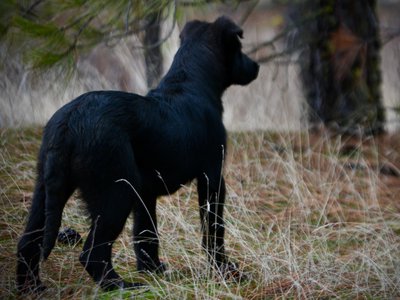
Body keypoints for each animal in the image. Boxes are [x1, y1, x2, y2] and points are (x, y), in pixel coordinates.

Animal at [16, 15, 260, 292]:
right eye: (239, 48)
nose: (256, 66)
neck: (192, 83)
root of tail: (69, 122)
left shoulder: (146, 190)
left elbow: (146, 232)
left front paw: (152, 269)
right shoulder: (212, 177)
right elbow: (214, 229)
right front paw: (224, 270)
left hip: (46, 188)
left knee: (28, 243)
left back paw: (32, 287)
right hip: (116, 192)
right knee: (92, 252)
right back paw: (120, 286)